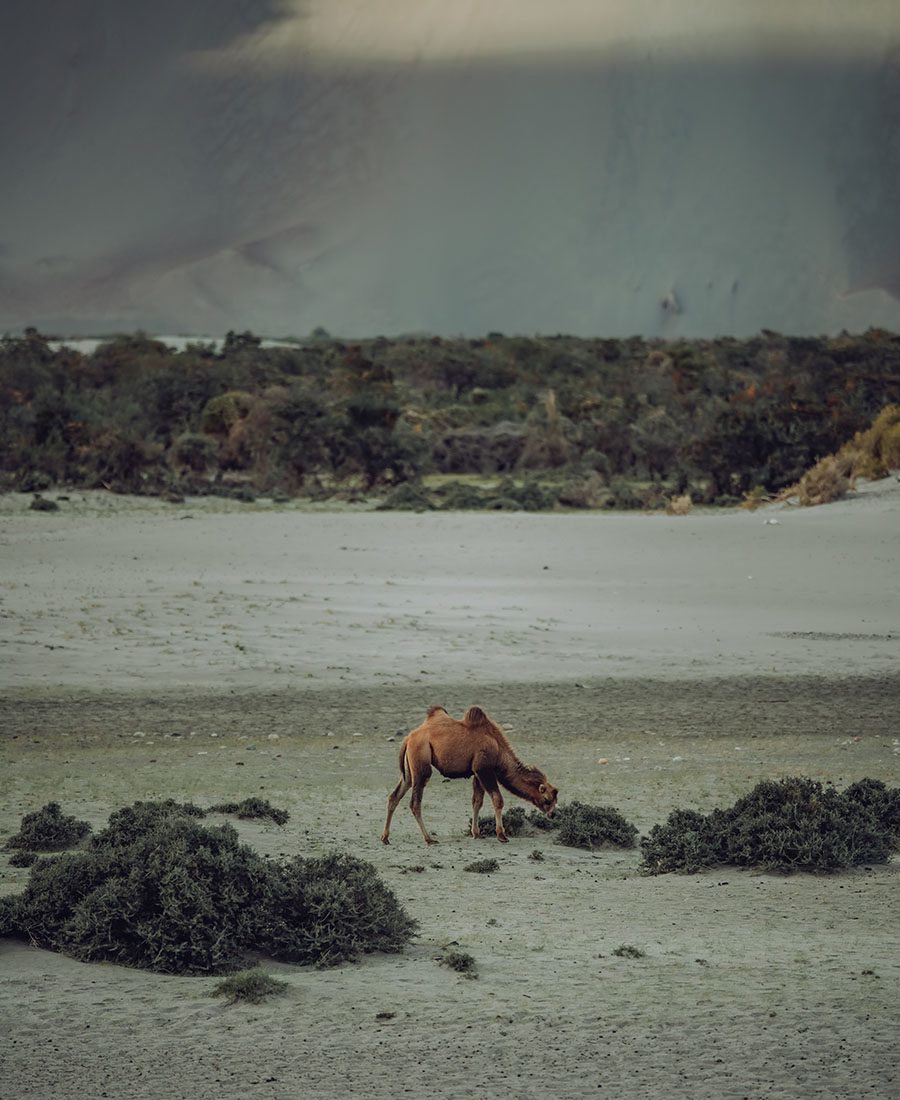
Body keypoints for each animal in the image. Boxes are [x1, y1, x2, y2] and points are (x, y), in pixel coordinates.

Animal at [378, 704, 554, 840]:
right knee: (415, 801)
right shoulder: (484, 769)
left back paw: (385, 837)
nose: (553, 815)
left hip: (409, 769)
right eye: (547, 799)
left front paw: (476, 833)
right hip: (421, 758)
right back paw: (428, 839)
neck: (498, 749)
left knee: (395, 795)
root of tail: (408, 738)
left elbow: (477, 801)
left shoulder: (477, 772)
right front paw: (501, 835)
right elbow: (498, 800)